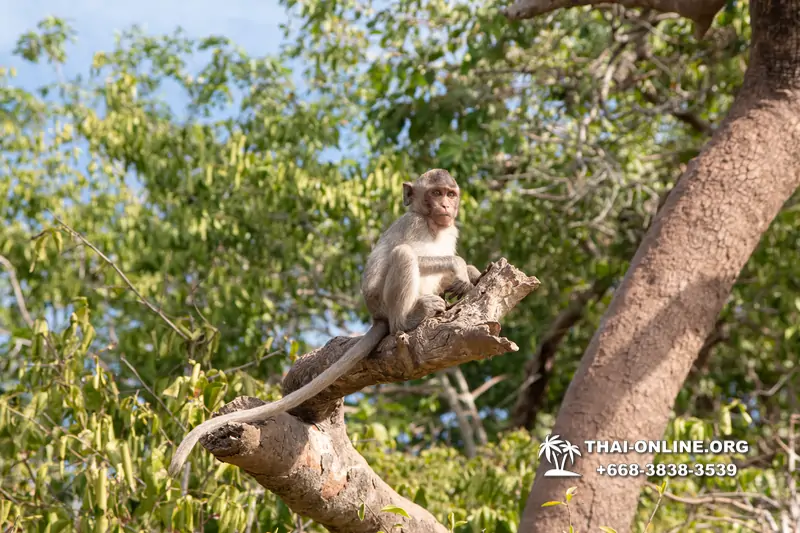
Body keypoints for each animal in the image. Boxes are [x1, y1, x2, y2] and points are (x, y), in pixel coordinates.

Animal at [167, 168, 482, 476]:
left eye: (450, 194)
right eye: (436, 193)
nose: (446, 206)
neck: (433, 224)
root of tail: (377, 316)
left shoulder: (450, 228)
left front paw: (471, 273)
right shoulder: (414, 224)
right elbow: (416, 253)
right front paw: (459, 265)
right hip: (383, 301)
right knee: (404, 257)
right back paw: (408, 319)